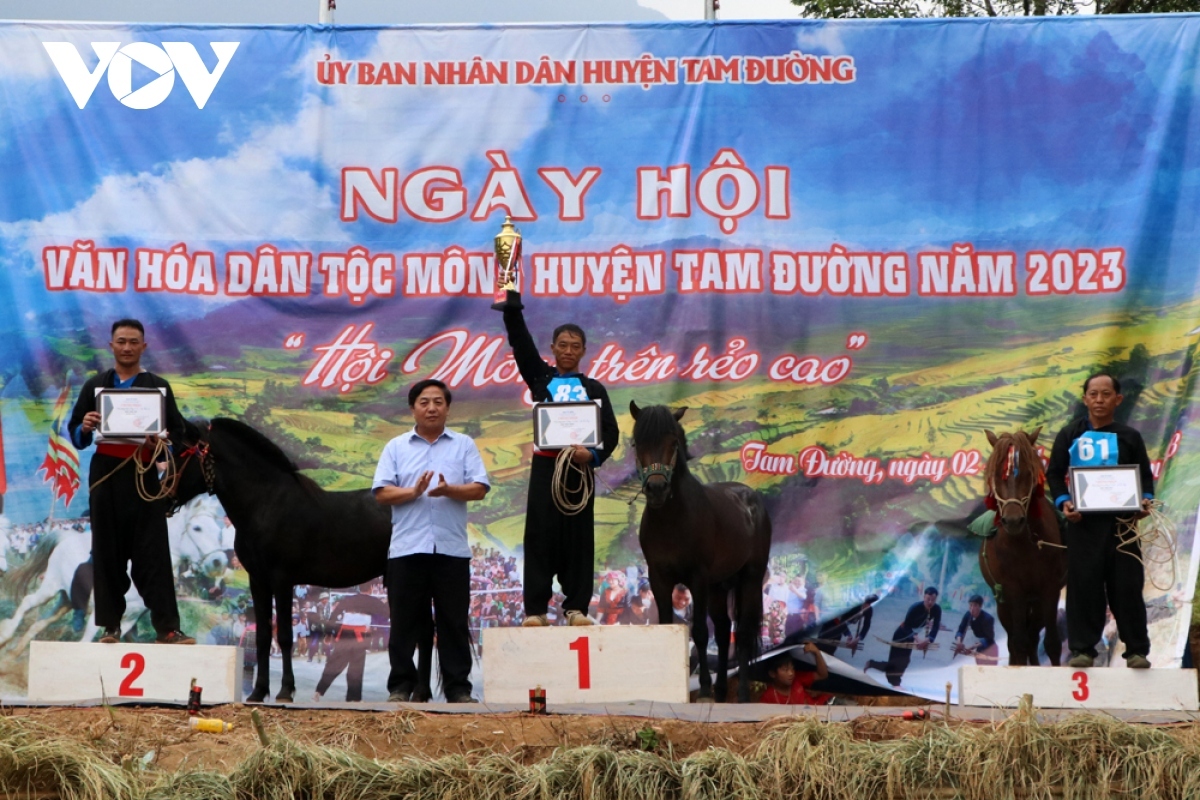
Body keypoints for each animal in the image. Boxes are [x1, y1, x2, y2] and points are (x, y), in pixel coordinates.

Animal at [180, 417, 434, 705]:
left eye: (182, 452)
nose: (164, 495)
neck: (267, 504)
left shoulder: (282, 580)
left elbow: (284, 636)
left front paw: (285, 691)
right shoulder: (258, 581)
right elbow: (263, 636)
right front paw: (258, 692)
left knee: (426, 633)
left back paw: (420, 694)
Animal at [628, 400, 768, 700]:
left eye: (673, 443)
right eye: (637, 443)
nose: (656, 488)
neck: (672, 519)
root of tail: (751, 497)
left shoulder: (698, 578)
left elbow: (701, 633)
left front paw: (703, 688)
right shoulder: (659, 578)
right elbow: (666, 624)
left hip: (750, 579)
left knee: (742, 631)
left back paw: (741, 694)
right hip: (718, 586)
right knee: (725, 629)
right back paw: (722, 690)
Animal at [984, 429, 1070, 666]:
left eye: (1028, 472)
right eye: (996, 475)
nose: (1013, 520)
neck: (1024, 545)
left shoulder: (1049, 588)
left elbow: (1051, 643)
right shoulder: (1013, 591)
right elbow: (1019, 643)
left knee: (1033, 636)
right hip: (1004, 603)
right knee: (1016, 641)